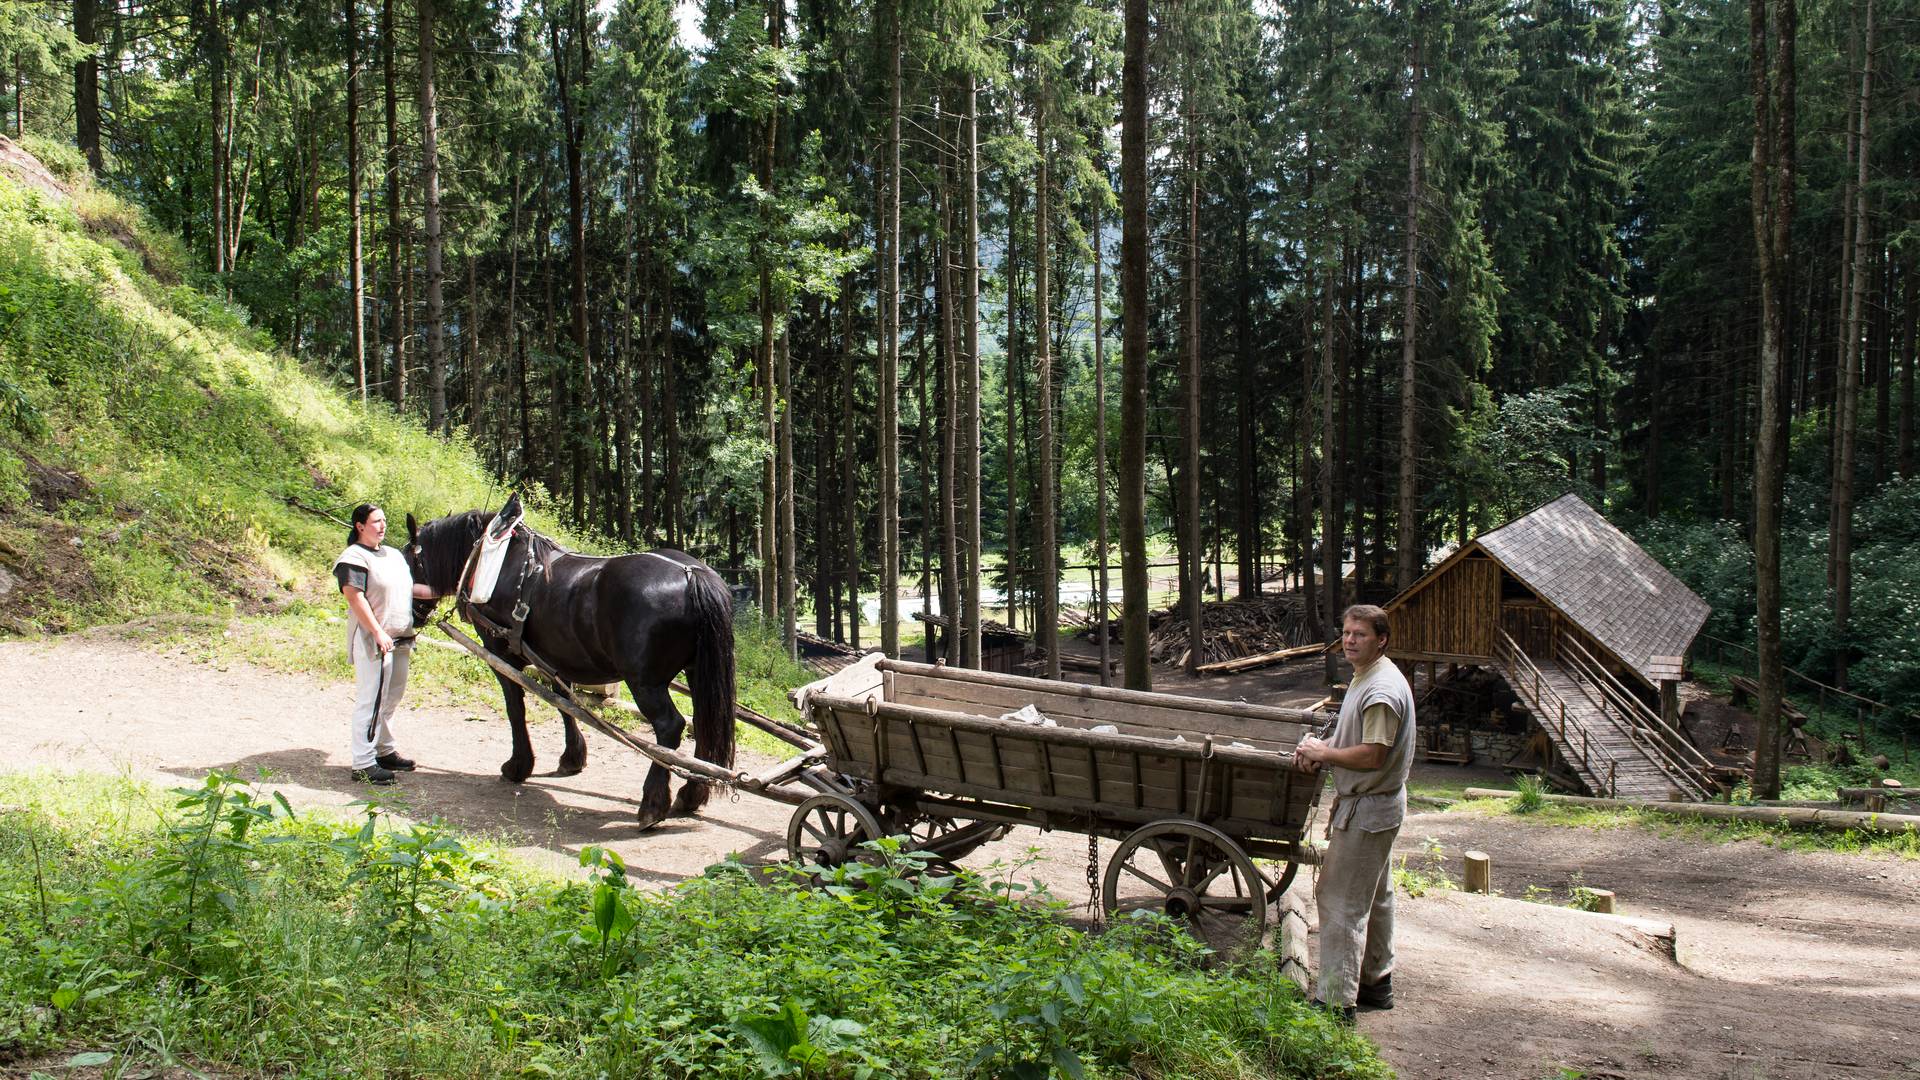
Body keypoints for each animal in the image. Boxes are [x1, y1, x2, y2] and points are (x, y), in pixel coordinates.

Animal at [405, 507, 733, 826]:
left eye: (410, 559)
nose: (413, 615)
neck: (496, 562)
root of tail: (692, 574)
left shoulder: (501, 654)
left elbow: (515, 708)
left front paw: (518, 765)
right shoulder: (555, 660)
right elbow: (565, 704)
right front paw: (572, 758)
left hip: (644, 682)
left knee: (669, 726)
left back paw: (652, 804)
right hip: (697, 673)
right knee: (702, 724)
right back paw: (691, 795)